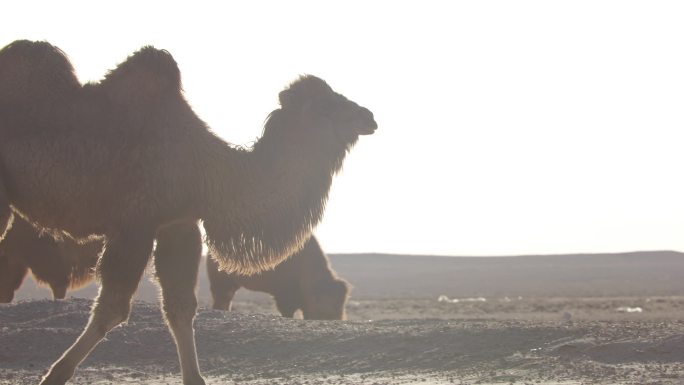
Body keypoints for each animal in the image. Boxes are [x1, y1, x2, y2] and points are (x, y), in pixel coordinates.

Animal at [206, 236, 350, 320]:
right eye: (321, 303)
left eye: (341, 303)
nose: (335, 318)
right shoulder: (283, 296)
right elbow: (287, 311)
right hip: (222, 283)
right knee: (222, 299)